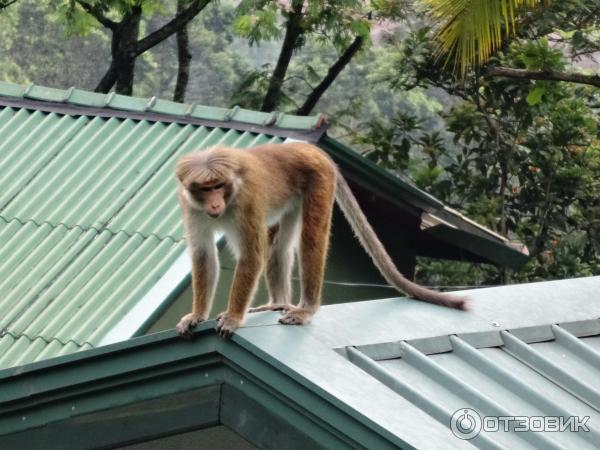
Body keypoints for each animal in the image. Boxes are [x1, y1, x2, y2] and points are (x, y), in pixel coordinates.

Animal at [173, 142, 464, 338]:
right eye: (205, 189)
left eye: (218, 186)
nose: (214, 204)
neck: (230, 196)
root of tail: (307, 147)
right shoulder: (190, 207)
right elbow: (203, 254)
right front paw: (197, 315)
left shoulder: (247, 202)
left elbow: (251, 255)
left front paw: (233, 317)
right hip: (291, 197)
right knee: (279, 245)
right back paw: (277, 302)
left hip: (319, 179)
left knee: (310, 240)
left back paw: (306, 310)